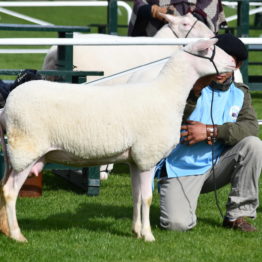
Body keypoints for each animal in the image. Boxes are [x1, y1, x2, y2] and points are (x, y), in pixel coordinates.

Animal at [0, 37, 235, 243]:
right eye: (210, 50)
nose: (233, 63)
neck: (167, 94)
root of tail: (6, 109)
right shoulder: (147, 156)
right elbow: (147, 197)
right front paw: (148, 235)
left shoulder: (135, 159)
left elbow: (136, 196)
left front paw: (136, 231)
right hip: (25, 151)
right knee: (10, 192)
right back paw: (17, 235)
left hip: (14, 155)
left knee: (3, 187)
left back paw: (5, 230)